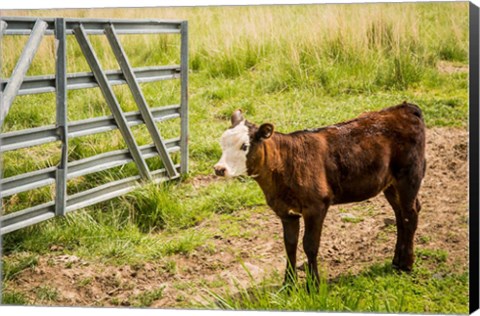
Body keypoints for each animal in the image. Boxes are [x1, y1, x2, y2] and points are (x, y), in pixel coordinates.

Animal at [216, 102, 426, 286]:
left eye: (244, 146)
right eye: (222, 143)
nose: (219, 169)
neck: (285, 163)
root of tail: (405, 108)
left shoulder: (316, 206)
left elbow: (310, 245)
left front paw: (313, 285)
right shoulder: (286, 212)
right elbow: (289, 245)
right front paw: (288, 285)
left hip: (409, 176)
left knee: (410, 214)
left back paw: (407, 264)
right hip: (389, 184)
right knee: (400, 215)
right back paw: (397, 261)